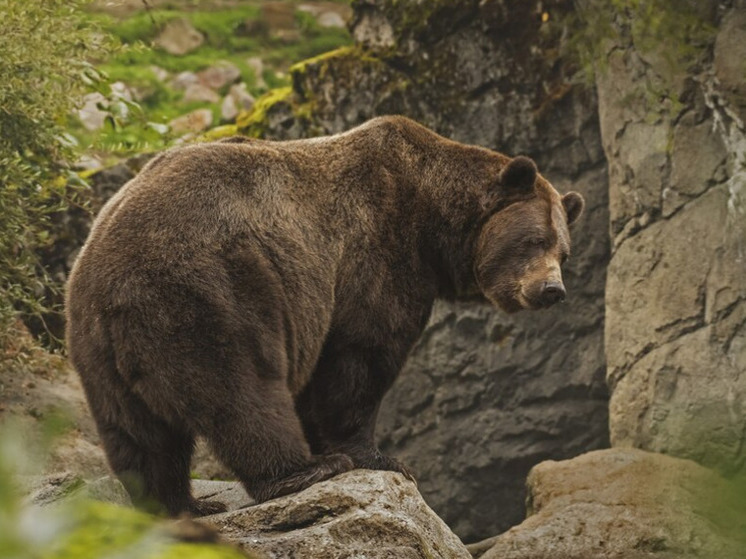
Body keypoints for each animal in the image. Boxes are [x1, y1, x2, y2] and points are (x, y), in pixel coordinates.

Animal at [65, 116, 580, 520]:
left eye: (564, 252)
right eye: (533, 241)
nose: (551, 290)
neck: (432, 220)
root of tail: (111, 286)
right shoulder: (375, 250)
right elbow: (360, 358)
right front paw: (380, 457)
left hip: (95, 345)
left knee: (139, 434)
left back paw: (181, 504)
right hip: (209, 290)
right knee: (241, 389)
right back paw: (301, 472)